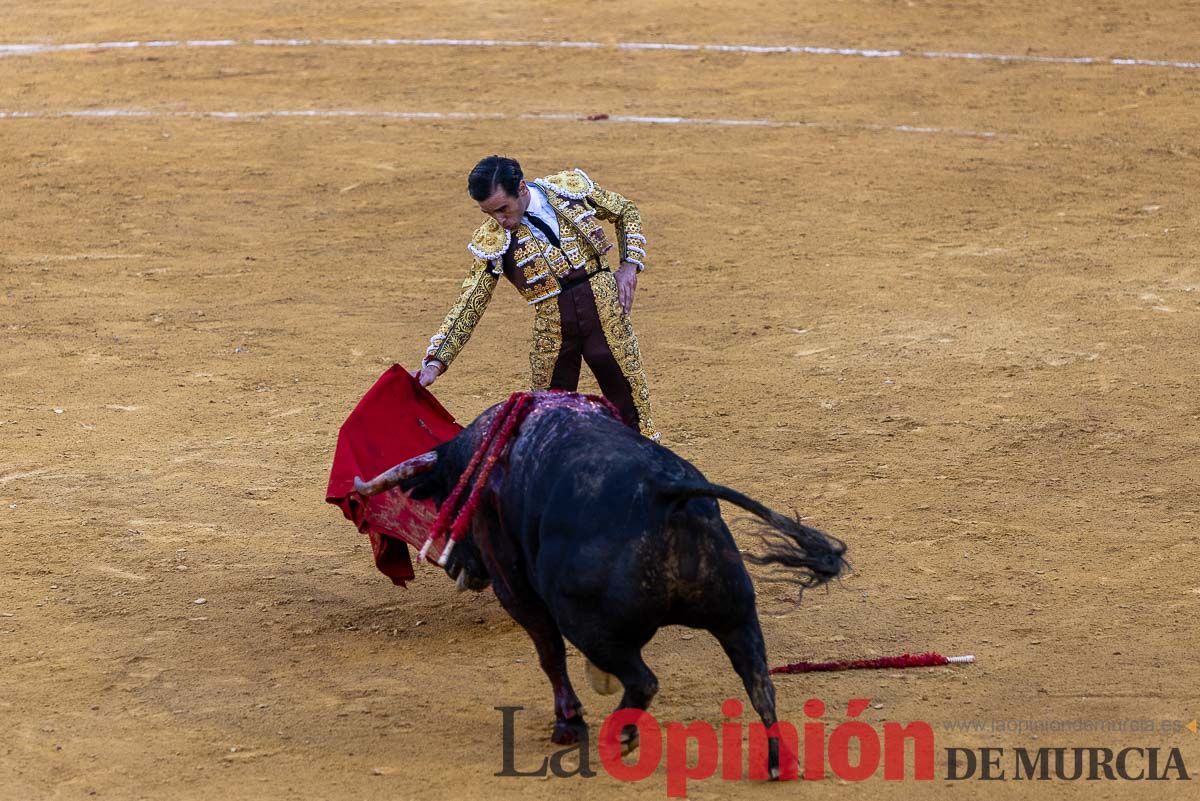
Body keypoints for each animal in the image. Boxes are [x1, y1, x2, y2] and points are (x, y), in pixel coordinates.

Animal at [352, 393, 844, 777]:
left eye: (449, 496)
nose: (460, 569)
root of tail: (668, 494)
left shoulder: (515, 584)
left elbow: (549, 653)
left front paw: (569, 724)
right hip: (737, 615)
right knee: (759, 681)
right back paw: (778, 762)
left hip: (588, 624)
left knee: (642, 679)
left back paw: (618, 736)